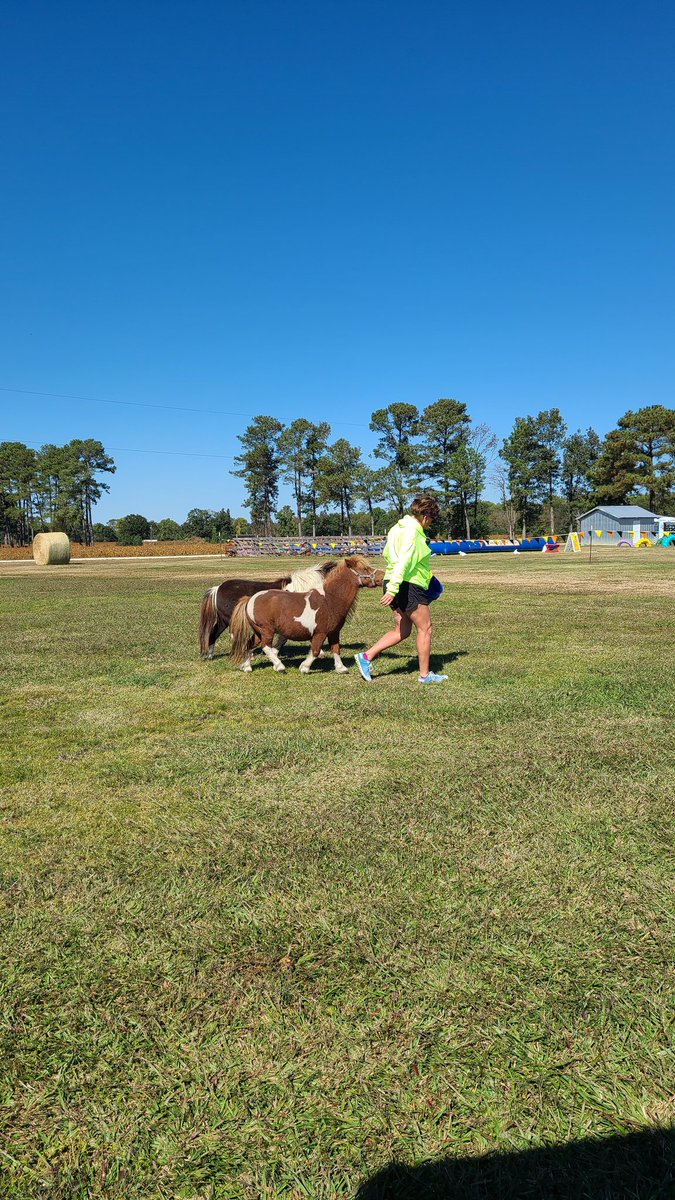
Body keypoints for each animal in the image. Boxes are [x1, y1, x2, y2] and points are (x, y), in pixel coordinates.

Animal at [198, 561, 337, 659]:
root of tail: (217, 588)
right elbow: (284, 638)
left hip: (223, 620)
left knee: (214, 633)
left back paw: (210, 655)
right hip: (231, 619)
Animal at [229, 556, 383, 674]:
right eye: (365, 568)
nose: (382, 576)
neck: (330, 599)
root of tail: (250, 599)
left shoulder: (334, 632)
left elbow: (336, 649)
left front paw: (341, 668)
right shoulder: (320, 633)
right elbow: (315, 651)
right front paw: (304, 667)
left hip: (258, 632)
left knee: (250, 645)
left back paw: (247, 667)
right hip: (267, 631)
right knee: (266, 647)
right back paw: (279, 666)